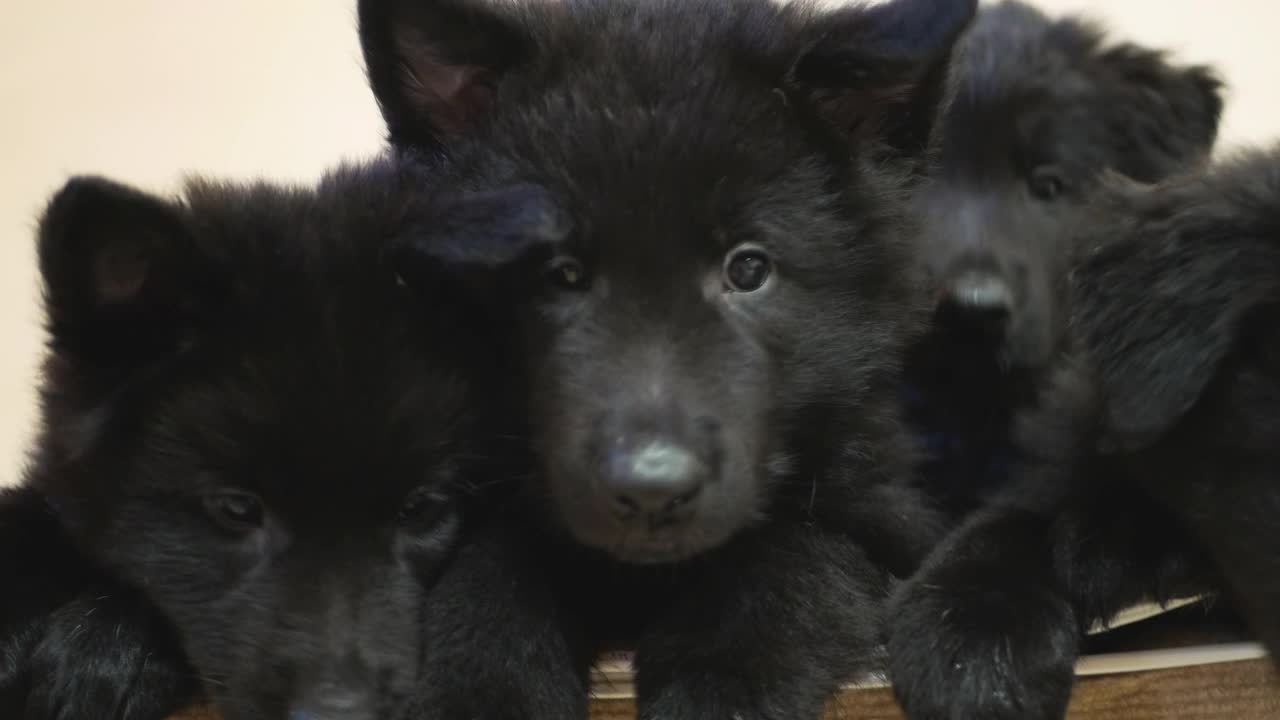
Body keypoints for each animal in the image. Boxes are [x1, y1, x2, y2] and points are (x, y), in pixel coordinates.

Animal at [368, 0, 977, 712]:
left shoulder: (885, 515)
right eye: (558, 274)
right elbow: (488, 570)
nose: (650, 491)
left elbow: (790, 559)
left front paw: (714, 686)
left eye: (748, 270)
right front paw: (480, 688)